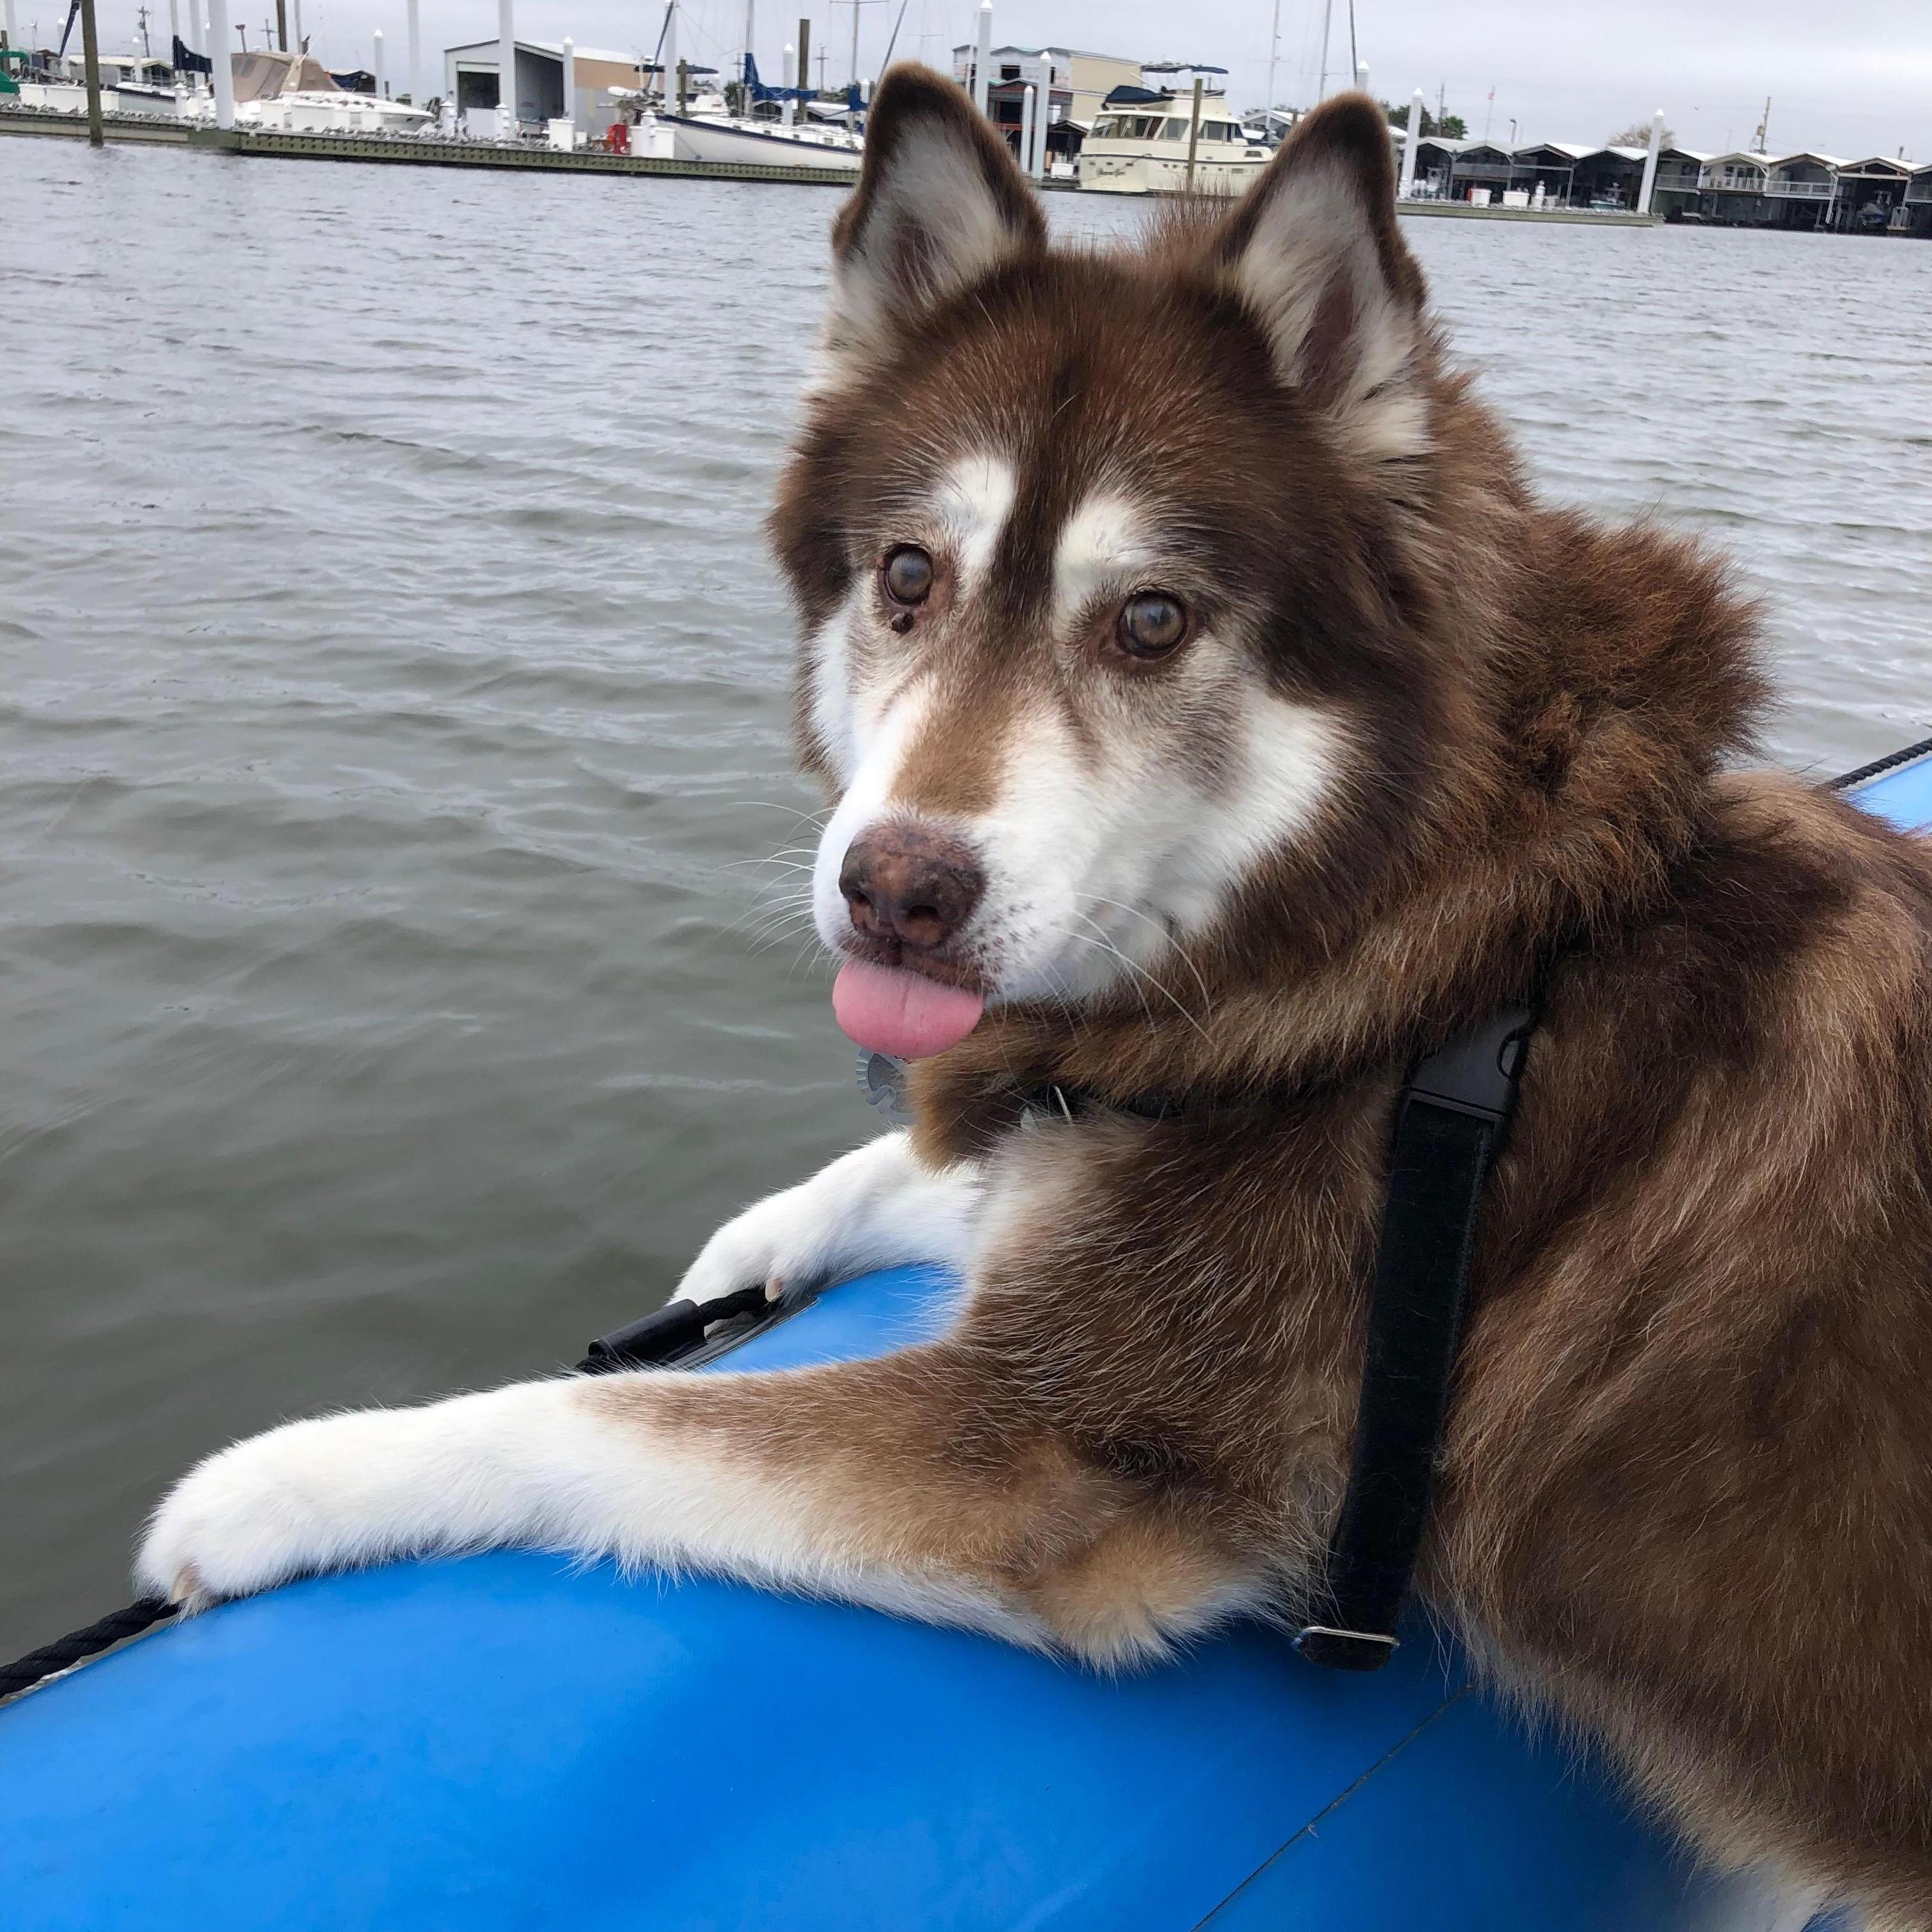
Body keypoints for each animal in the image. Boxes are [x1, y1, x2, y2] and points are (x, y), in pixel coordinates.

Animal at [142, 68, 1932, 1924]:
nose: (895, 890)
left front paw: (285, 1478)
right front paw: (750, 1250)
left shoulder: (1058, 1452)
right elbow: (926, 1184)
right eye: (906, 576)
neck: (1423, 944)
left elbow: (591, 1413)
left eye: (1147, 619)